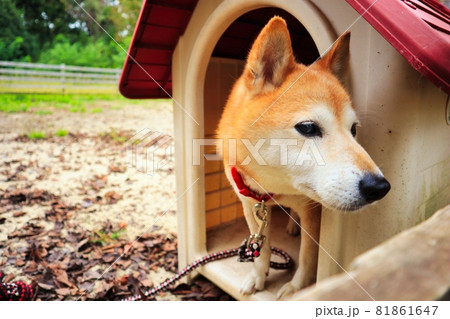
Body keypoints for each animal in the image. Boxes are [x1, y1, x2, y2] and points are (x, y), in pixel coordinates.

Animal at [216, 16, 388, 300]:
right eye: (308, 127)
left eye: (353, 130)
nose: (380, 187)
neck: (272, 190)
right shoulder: (250, 206)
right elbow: (261, 250)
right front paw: (257, 277)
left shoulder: (313, 213)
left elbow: (309, 257)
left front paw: (297, 289)